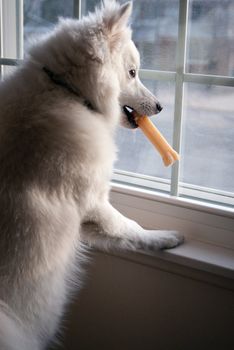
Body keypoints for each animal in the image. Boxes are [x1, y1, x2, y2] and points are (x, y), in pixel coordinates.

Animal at [0, 1, 183, 348]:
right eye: (133, 72)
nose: (160, 106)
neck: (66, 91)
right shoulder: (92, 202)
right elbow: (130, 227)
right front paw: (164, 237)